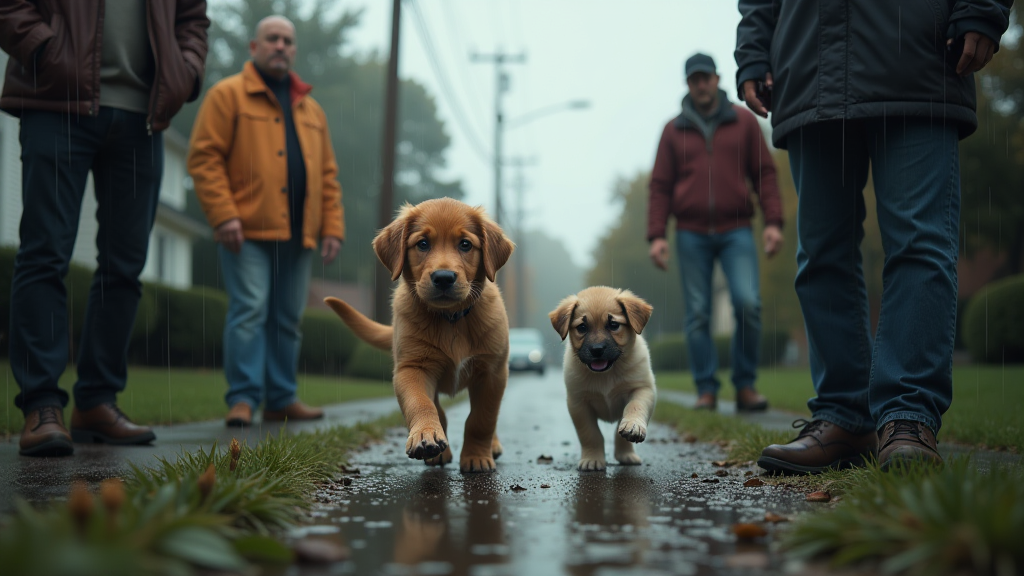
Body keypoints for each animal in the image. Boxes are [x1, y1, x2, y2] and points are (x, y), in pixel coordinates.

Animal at [325, 196, 512, 471]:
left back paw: (493, 446)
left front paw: (476, 457)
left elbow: (482, 419)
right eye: (423, 244)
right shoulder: (412, 367)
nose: (443, 277)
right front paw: (427, 437)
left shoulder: (492, 372)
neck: (451, 319)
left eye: (465, 244)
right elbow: (422, 403)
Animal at [552, 286, 655, 471]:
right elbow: (591, 434)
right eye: (582, 327)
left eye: (613, 325)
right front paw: (592, 459)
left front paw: (633, 427)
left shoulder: (643, 389)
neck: (607, 374)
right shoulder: (578, 403)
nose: (597, 349)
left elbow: (634, 407)